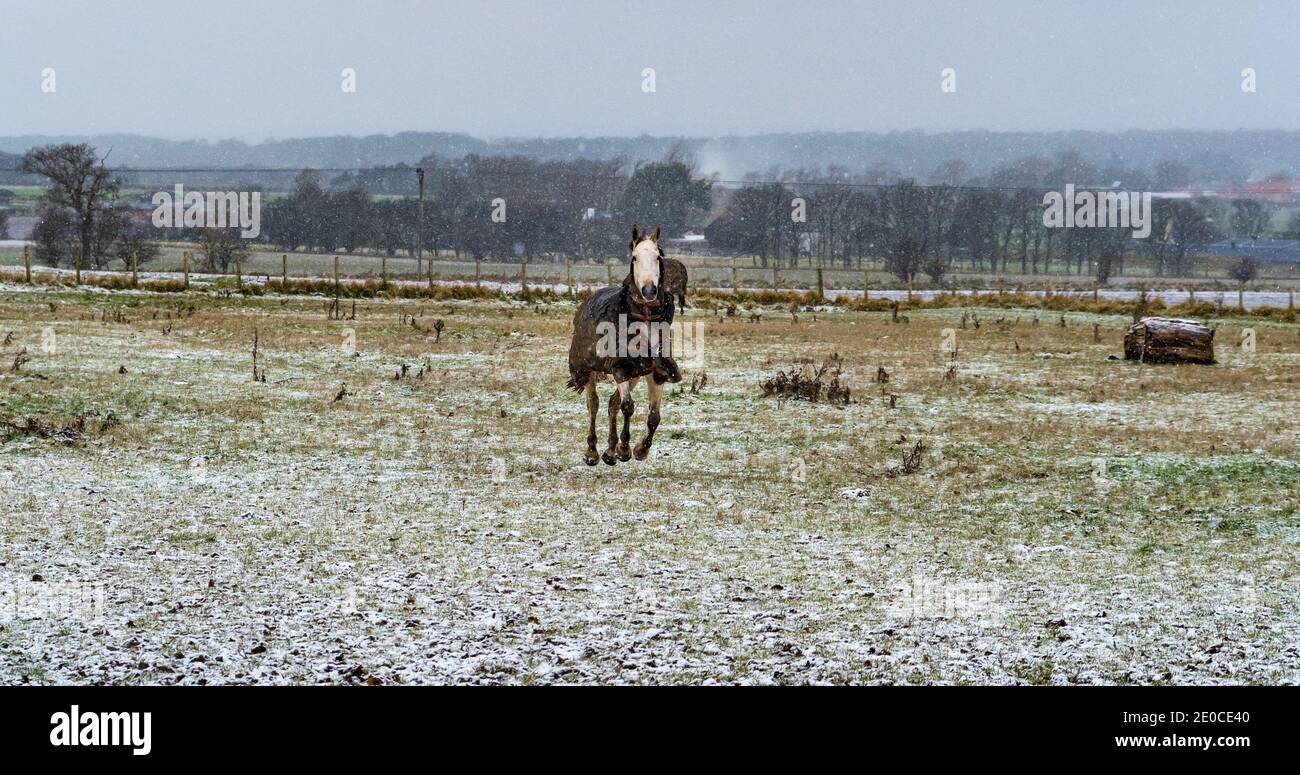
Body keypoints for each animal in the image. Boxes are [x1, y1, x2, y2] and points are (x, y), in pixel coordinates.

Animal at [567, 225, 682, 466]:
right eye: (634, 257)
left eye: (658, 257)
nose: (649, 290)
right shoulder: (619, 370)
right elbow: (627, 407)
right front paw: (624, 449)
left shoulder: (656, 372)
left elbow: (654, 416)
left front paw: (639, 450)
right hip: (590, 371)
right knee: (594, 404)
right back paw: (592, 452)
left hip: (635, 375)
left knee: (611, 403)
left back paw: (609, 452)